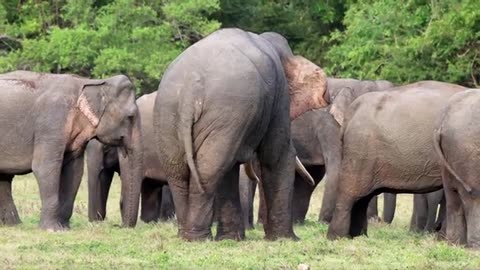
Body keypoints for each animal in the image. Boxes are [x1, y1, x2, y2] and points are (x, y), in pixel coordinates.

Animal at [0, 70, 142, 231]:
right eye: (130, 117)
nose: (119, 225)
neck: (91, 82)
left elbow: (75, 170)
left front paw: (65, 227)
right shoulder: (52, 121)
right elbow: (44, 167)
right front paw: (52, 230)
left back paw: (13, 224)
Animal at [152, 28, 328, 242]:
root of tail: (191, 88)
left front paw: (230, 239)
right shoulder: (279, 93)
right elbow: (277, 155)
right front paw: (287, 239)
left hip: (173, 115)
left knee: (181, 172)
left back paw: (187, 235)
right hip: (224, 109)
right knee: (209, 171)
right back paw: (198, 237)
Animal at [326, 80, 464, 240]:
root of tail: (351, 113)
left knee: (362, 198)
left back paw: (358, 236)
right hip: (360, 148)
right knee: (351, 193)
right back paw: (338, 238)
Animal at [434, 89, 480, 249]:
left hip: (451, 157)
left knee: (452, 196)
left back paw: (454, 244)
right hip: (468, 154)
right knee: (472, 198)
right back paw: (475, 246)